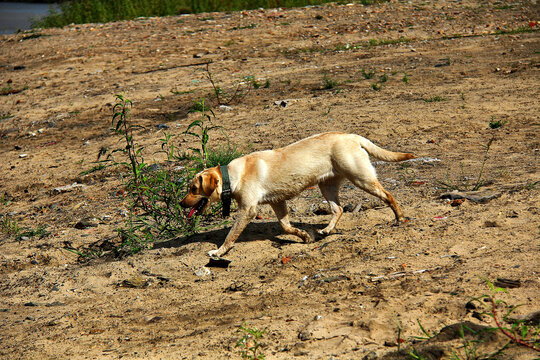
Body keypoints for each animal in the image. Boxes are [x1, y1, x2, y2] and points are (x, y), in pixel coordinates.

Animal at [180, 131, 414, 256]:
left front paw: (219, 252)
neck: (232, 175)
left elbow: (231, 235)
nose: (181, 204)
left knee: (388, 195)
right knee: (338, 209)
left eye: (193, 189)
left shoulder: (248, 210)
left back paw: (399, 218)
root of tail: (352, 136)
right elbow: (286, 226)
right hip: (327, 186)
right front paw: (304, 236)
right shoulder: (277, 202)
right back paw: (326, 230)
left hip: (361, 178)